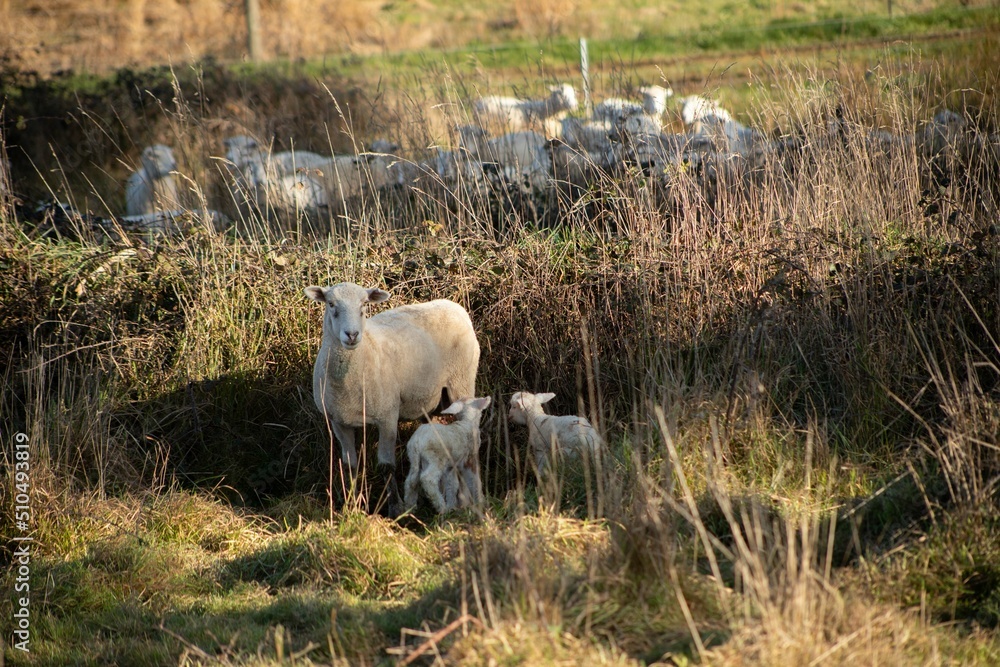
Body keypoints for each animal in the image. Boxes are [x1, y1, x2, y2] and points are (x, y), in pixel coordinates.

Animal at [305, 282, 481, 513]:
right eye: (331, 304)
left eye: (364, 304)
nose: (352, 334)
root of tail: (454, 305)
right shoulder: (338, 421)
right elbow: (350, 465)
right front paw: (352, 506)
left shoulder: (387, 416)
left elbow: (386, 466)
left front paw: (395, 509)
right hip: (433, 399)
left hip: (462, 381)